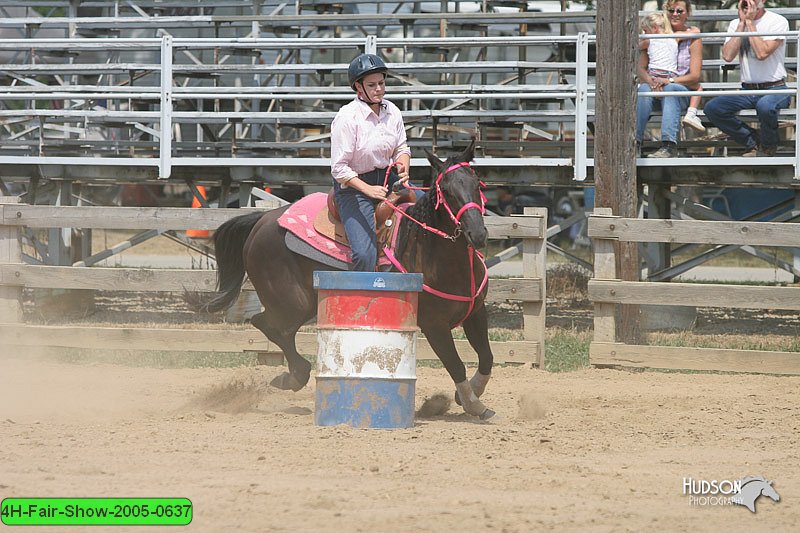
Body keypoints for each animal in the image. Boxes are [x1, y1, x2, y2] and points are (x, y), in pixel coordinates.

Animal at [191, 141, 496, 420]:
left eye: (477, 184)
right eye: (447, 191)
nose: (478, 234)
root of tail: (263, 219)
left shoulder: (476, 312)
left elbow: (486, 358)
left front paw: (465, 395)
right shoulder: (434, 325)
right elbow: (455, 364)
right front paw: (475, 405)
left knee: (274, 328)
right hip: (291, 303)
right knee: (270, 326)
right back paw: (294, 376)